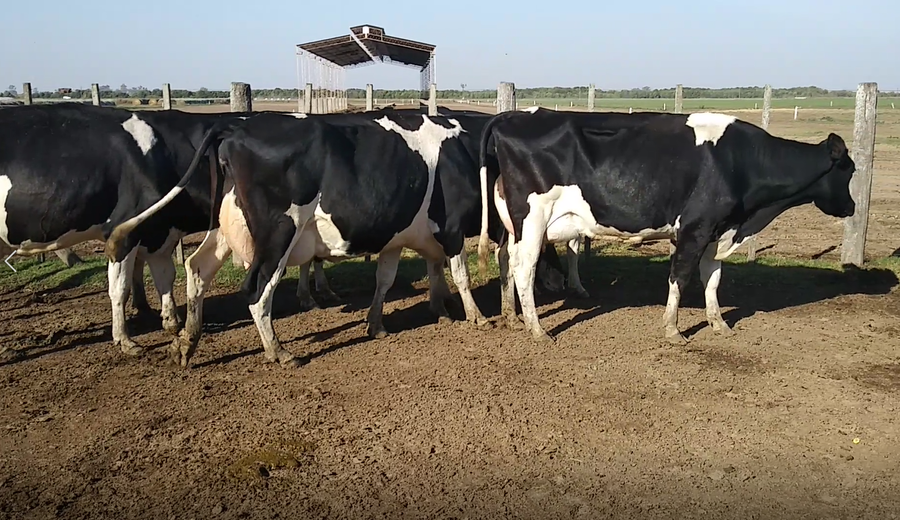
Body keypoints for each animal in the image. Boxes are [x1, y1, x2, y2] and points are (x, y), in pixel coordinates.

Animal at [0, 103, 249, 355]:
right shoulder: (124, 234)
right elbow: (120, 288)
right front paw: (124, 340)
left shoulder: (159, 234)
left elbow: (165, 277)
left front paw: (172, 324)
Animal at [106, 110, 571, 368]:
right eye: (551, 250)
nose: (562, 283)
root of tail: (234, 129)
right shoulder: (455, 226)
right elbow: (461, 272)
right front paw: (478, 316)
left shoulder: (398, 237)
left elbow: (392, 278)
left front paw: (389, 321)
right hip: (278, 233)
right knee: (257, 291)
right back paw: (278, 352)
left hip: (226, 228)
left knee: (197, 269)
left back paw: (186, 343)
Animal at [476, 108, 856, 344]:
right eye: (849, 170)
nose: (852, 206)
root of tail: (512, 115)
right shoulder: (695, 228)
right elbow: (680, 277)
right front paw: (673, 329)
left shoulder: (717, 229)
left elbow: (712, 279)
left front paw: (718, 323)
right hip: (533, 218)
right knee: (525, 267)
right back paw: (537, 328)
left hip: (513, 224)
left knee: (506, 259)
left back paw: (512, 316)